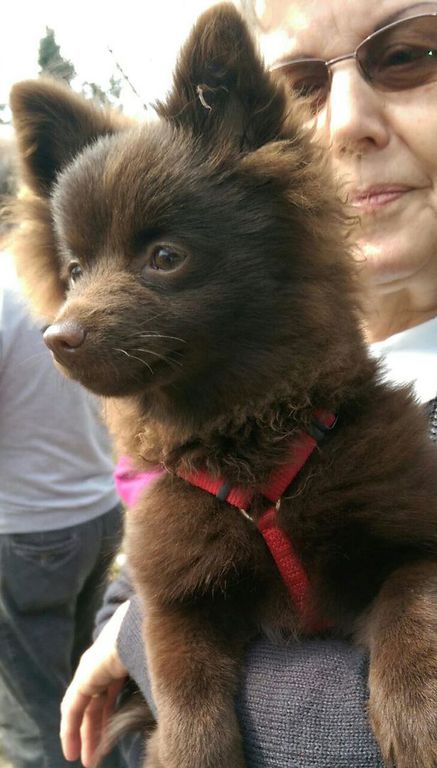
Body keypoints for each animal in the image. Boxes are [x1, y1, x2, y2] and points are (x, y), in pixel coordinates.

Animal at [10, 4, 437, 767]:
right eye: (76, 270)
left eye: (165, 257)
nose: (58, 337)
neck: (249, 450)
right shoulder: (177, 601)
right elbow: (187, 703)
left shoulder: (410, 532)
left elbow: (413, 601)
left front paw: (418, 712)